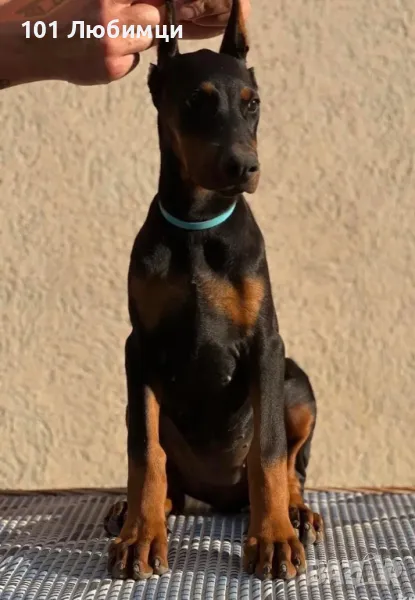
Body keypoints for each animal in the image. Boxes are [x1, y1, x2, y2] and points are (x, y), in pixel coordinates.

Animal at [105, 0, 323, 581]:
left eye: (253, 104)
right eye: (194, 102)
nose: (243, 167)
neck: (200, 224)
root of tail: (220, 497)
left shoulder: (267, 344)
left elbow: (269, 451)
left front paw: (273, 538)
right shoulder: (141, 349)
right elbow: (144, 452)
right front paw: (141, 536)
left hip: (297, 385)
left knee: (291, 465)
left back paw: (297, 512)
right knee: (165, 464)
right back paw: (139, 510)